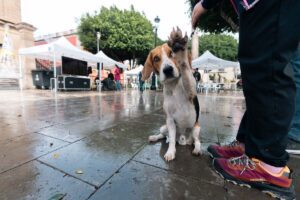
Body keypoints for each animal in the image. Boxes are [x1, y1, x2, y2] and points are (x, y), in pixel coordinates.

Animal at [141, 27, 202, 161]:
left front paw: (181, 53)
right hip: (163, 127)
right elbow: (172, 140)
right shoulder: (169, 120)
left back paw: (196, 149)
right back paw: (155, 137)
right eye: (156, 59)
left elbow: (185, 71)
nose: (167, 70)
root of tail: (183, 139)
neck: (173, 87)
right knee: (165, 136)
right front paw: (170, 152)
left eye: (172, 54)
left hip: (196, 128)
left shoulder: (191, 91)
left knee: (197, 141)